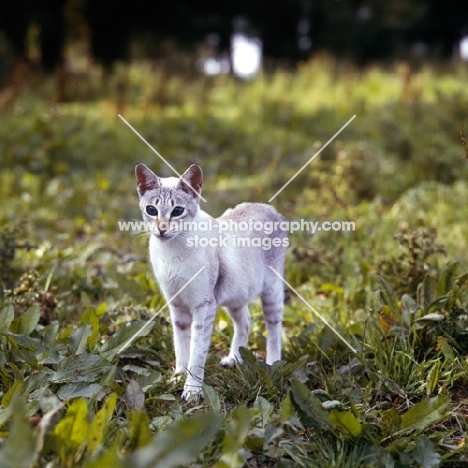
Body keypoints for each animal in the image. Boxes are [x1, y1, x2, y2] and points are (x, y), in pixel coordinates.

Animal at [134, 164, 288, 398]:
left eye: (177, 211)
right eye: (152, 210)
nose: (162, 229)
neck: (171, 253)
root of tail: (268, 207)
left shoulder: (203, 306)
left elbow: (197, 353)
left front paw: (192, 389)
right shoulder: (177, 306)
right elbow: (181, 348)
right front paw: (178, 377)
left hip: (271, 293)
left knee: (274, 328)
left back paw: (272, 364)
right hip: (235, 295)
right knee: (245, 322)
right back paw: (235, 358)